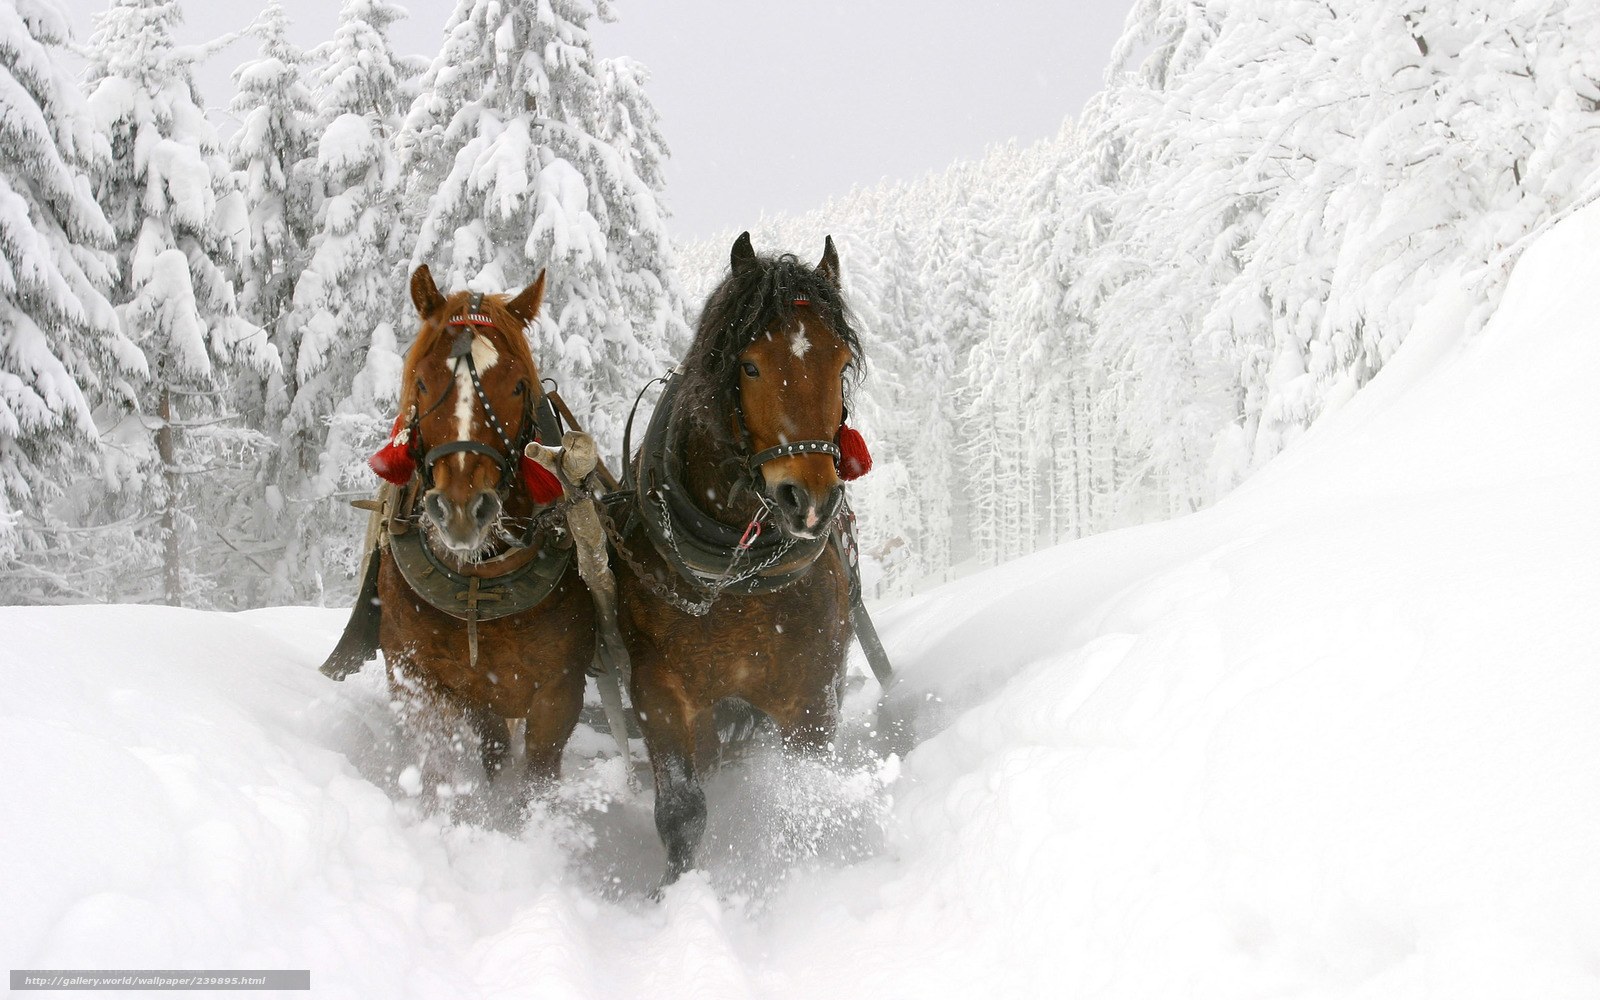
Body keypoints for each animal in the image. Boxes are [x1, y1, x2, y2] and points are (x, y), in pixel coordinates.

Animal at [322, 265, 596, 807]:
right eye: (423, 381)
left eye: (518, 386)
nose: (463, 510)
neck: (479, 583)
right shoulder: (419, 680)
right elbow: (437, 770)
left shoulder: (559, 693)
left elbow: (536, 781)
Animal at [614, 232, 871, 886]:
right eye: (750, 365)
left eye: (840, 363)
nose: (810, 500)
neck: (735, 578)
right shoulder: (658, 691)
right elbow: (682, 812)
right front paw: (674, 894)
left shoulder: (811, 696)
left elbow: (805, 799)